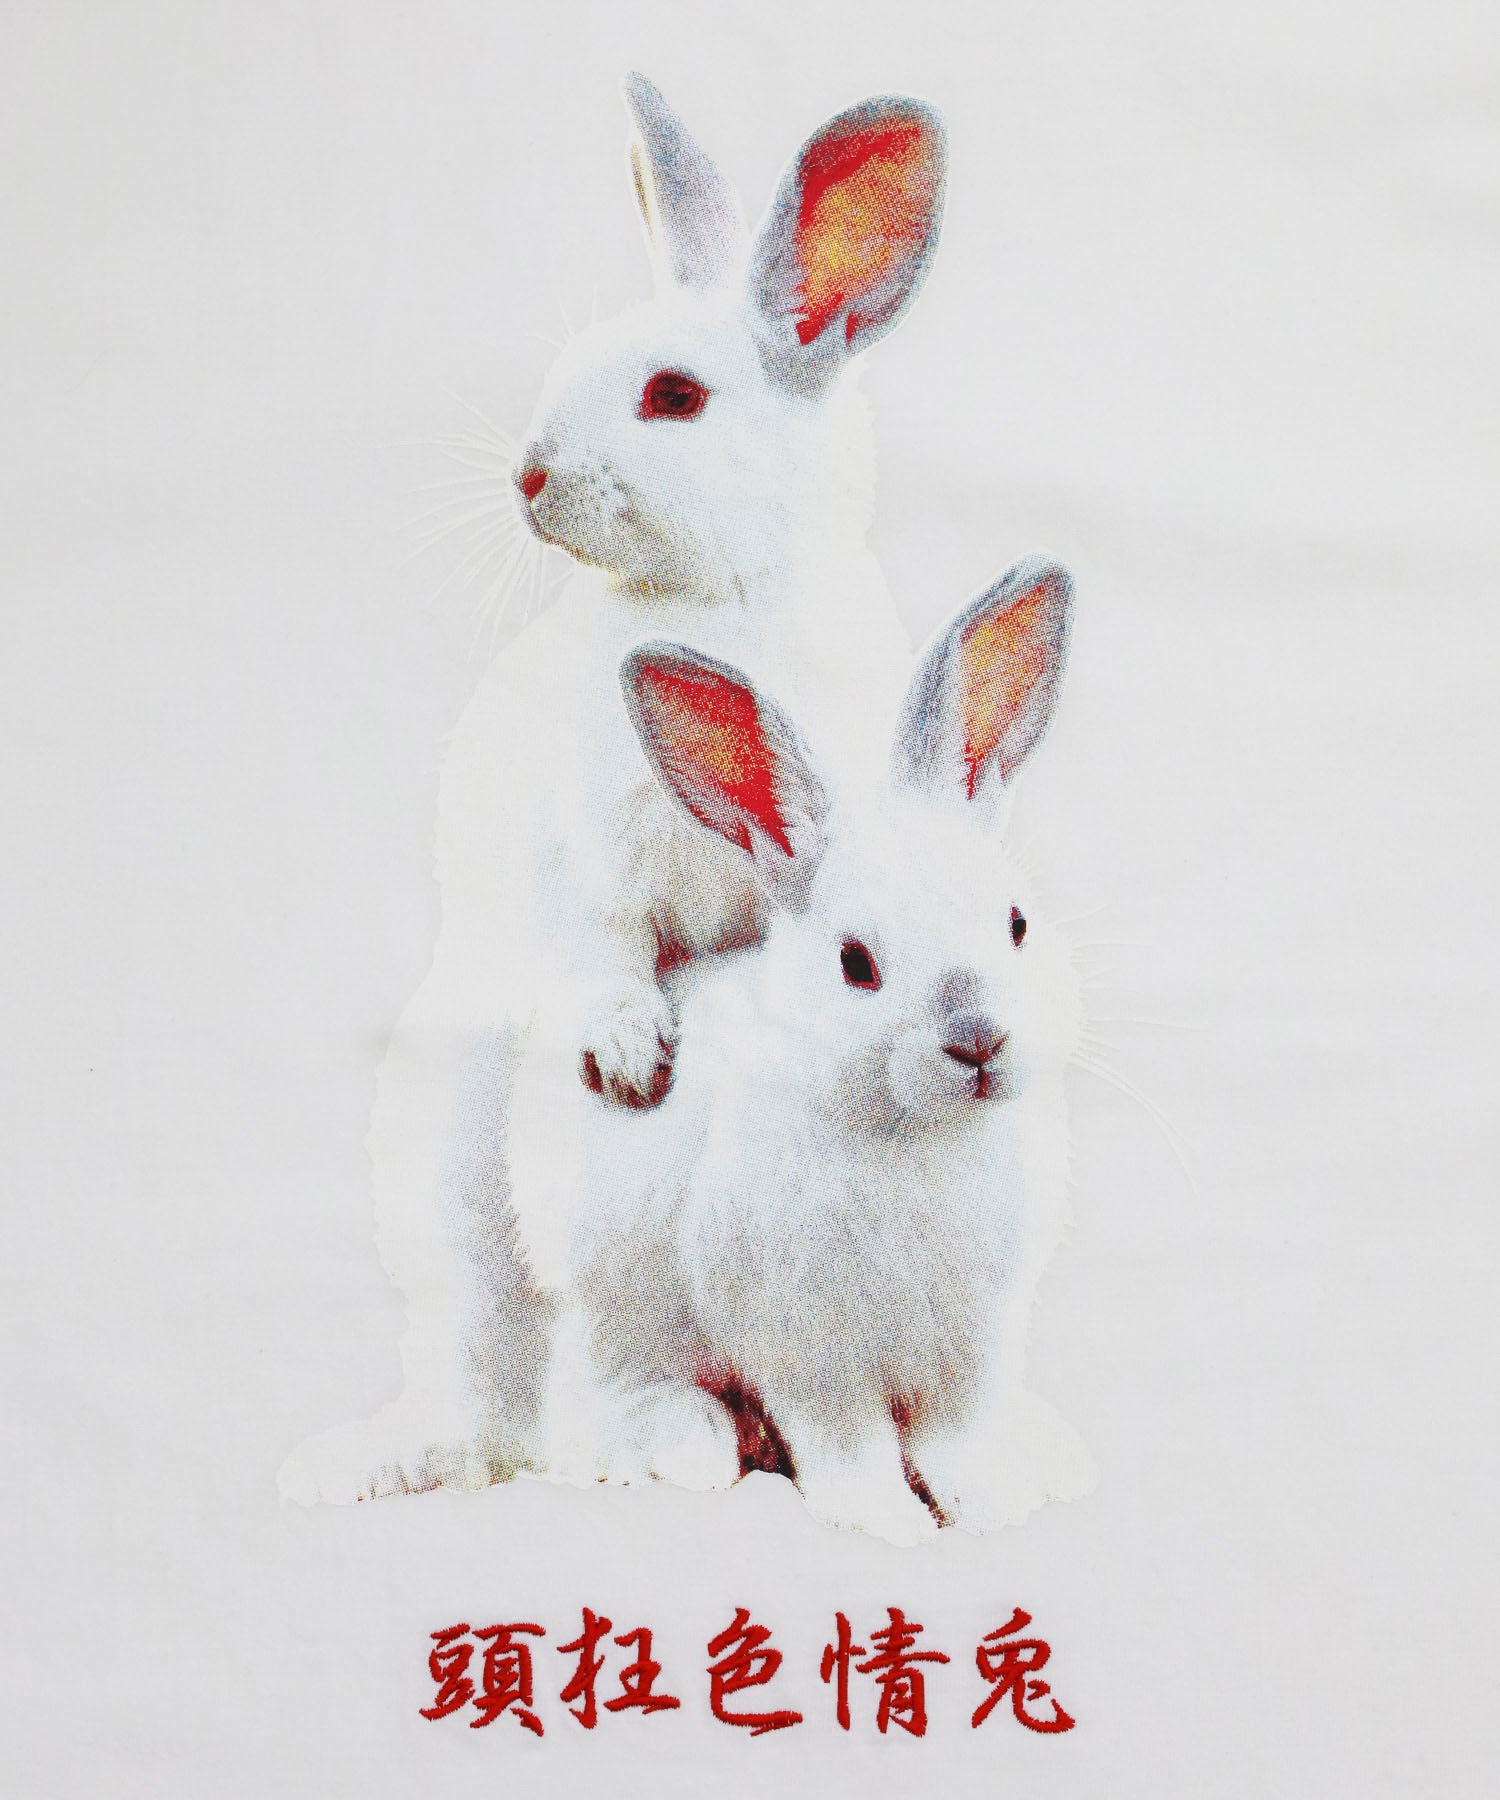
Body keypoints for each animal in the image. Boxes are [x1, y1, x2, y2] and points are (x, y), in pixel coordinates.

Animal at [278, 75, 949, 1504]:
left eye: (675, 395)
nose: (528, 476)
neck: (726, 597)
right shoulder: (585, 859)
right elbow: (601, 949)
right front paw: (631, 1054)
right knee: (509, 1382)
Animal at [514, 556, 1097, 1545]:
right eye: (856, 963)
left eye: (1017, 923)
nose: (977, 1041)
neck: (915, 1137)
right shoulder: (807, 1353)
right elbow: (847, 1444)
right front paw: (888, 1523)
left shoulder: (970, 1347)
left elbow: (960, 1437)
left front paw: (996, 1502)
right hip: (613, 1308)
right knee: (616, 1390)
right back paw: (687, 1446)